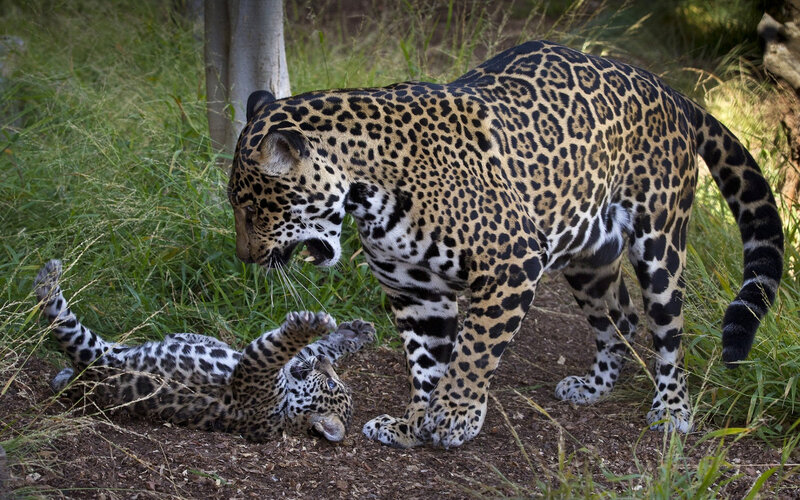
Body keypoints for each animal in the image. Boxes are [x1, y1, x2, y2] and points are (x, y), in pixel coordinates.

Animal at [34, 259, 376, 442]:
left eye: (330, 383)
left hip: (93, 348)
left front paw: (308, 326)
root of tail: (89, 379)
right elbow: (316, 347)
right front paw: (353, 331)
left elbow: (281, 344)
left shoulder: (256, 366)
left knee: (57, 315)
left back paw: (48, 276)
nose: (324, 366)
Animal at [227, 40, 784, 448]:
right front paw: (414, 423)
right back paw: (594, 386)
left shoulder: (510, 264)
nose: (245, 258)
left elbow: (473, 352)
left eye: (253, 209)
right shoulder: (415, 292)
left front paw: (455, 415)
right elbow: (425, 363)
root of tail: (664, 86)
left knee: (668, 334)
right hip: (589, 255)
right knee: (620, 319)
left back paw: (671, 410)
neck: (367, 190)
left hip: (660, 242)